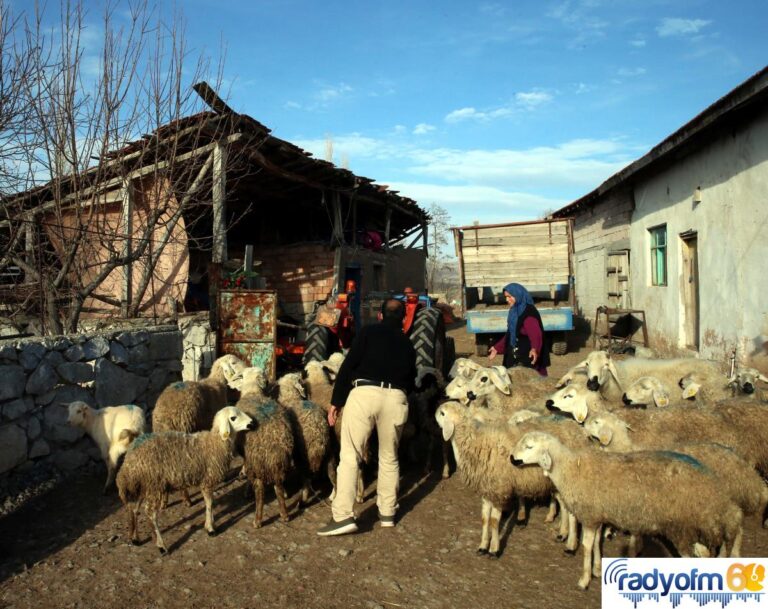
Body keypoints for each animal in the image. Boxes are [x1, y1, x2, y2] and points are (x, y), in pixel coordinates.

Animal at [116, 406, 255, 552]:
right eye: (233, 418)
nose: (252, 423)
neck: (214, 443)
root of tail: (129, 460)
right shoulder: (207, 481)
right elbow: (209, 504)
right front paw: (210, 528)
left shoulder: (206, 481)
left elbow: (210, 503)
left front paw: (211, 524)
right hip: (154, 485)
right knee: (150, 514)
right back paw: (161, 545)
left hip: (143, 485)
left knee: (134, 509)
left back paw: (135, 538)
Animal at [276, 370, 336, 504]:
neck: (292, 399)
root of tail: (318, 430)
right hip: (329, 452)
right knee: (334, 474)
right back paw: (333, 496)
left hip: (304, 456)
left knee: (306, 480)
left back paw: (303, 499)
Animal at [510, 430, 744, 588]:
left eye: (529, 447)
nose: (512, 459)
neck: (569, 468)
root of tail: (717, 494)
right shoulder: (600, 515)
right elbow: (597, 543)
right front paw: (597, 569)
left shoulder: (590, 515)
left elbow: (587, 546)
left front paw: (584, 579)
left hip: (683, 529)